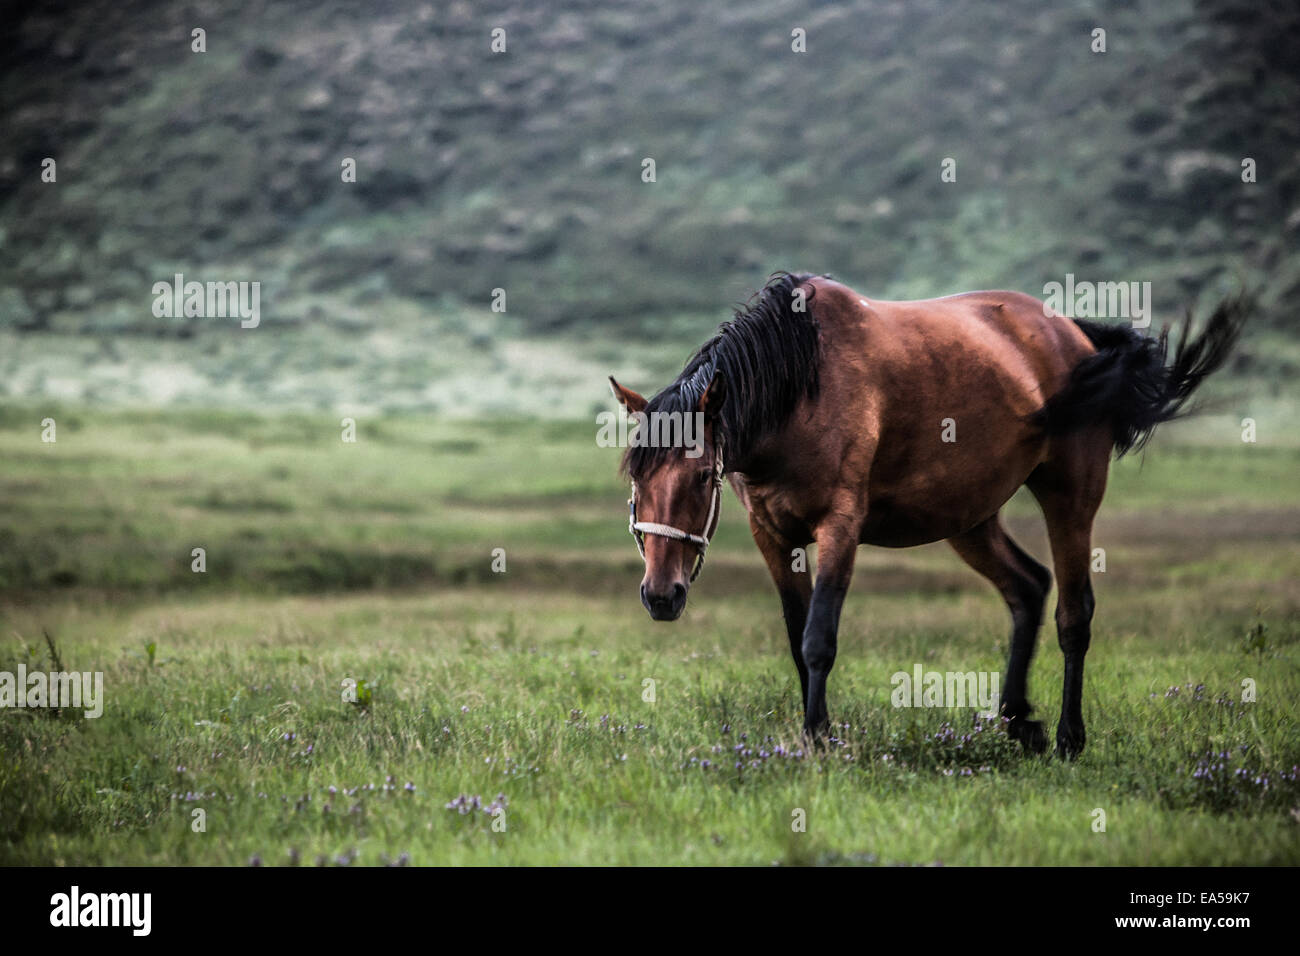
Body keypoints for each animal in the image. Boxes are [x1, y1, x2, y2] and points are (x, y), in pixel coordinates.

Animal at [610, 272, 1248, 757]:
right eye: (636, 480)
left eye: (700, 477)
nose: (661, 596)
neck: (799, 387)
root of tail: (1076, 336)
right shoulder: (772, 534)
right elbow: (796, 639)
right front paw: (815, 732)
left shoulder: (840, 526)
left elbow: (819, 639)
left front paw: (819, 740)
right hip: (970, 519)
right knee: (1027, 587)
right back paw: (1018, 721)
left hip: (1070, 494)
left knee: (1074, 614)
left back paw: (1070, 737)